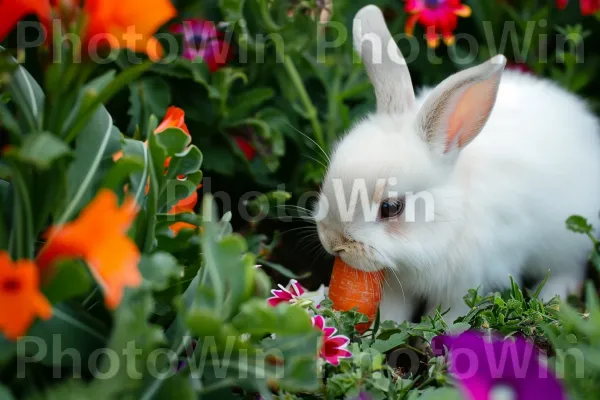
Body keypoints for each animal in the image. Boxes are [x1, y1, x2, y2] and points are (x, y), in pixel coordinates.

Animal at [312, 4, 600, 324]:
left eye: (391, 208)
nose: (334, 242)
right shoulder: (399, 284)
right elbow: (395, 308)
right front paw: (389, 323)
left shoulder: (466, 283)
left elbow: (452, 314)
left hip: (566, 240)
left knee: (569, 268)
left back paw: (552, 297)